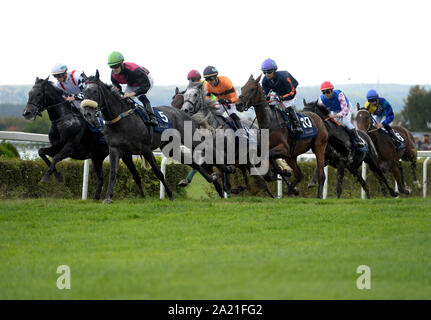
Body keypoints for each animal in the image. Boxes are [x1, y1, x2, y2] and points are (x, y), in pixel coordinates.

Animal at [82, 71, 223, 204]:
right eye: (83, 91)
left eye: (94, 91)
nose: (87, 113)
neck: (120, 120)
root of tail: (184, 113)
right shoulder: (117, 150)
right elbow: (114, 173)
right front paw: (108, 197)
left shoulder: (145, 148)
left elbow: (158, 172)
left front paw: (170, 195)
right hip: (169, 147)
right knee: (191, 162)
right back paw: (211, 178)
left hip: (189, 139)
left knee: (206, 151)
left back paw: (223, 172)